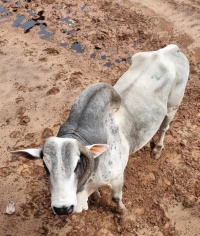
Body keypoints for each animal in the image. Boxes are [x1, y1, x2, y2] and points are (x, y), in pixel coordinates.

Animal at [10, 44, 189, 216]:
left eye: (77, 165)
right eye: (45, 166)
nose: (62, 208)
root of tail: (171, 49)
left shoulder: (117, 177)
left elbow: (116, 198)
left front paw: (122, 213)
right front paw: (97, 196)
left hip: (173, 107)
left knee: (164, 127)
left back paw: (157, 149)